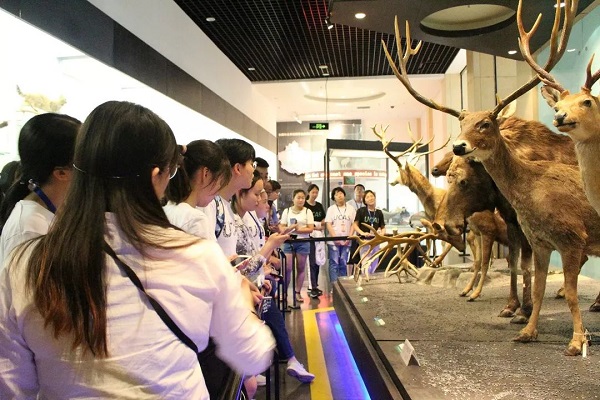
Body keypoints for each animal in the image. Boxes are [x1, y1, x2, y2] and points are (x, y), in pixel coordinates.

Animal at [382, 0, 600, 356]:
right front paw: (515, 309)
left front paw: (523, 311)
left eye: (485, 124)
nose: (457, 146)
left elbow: (513, 266)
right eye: (461, 123)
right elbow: (514, 265)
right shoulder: (511, 224)